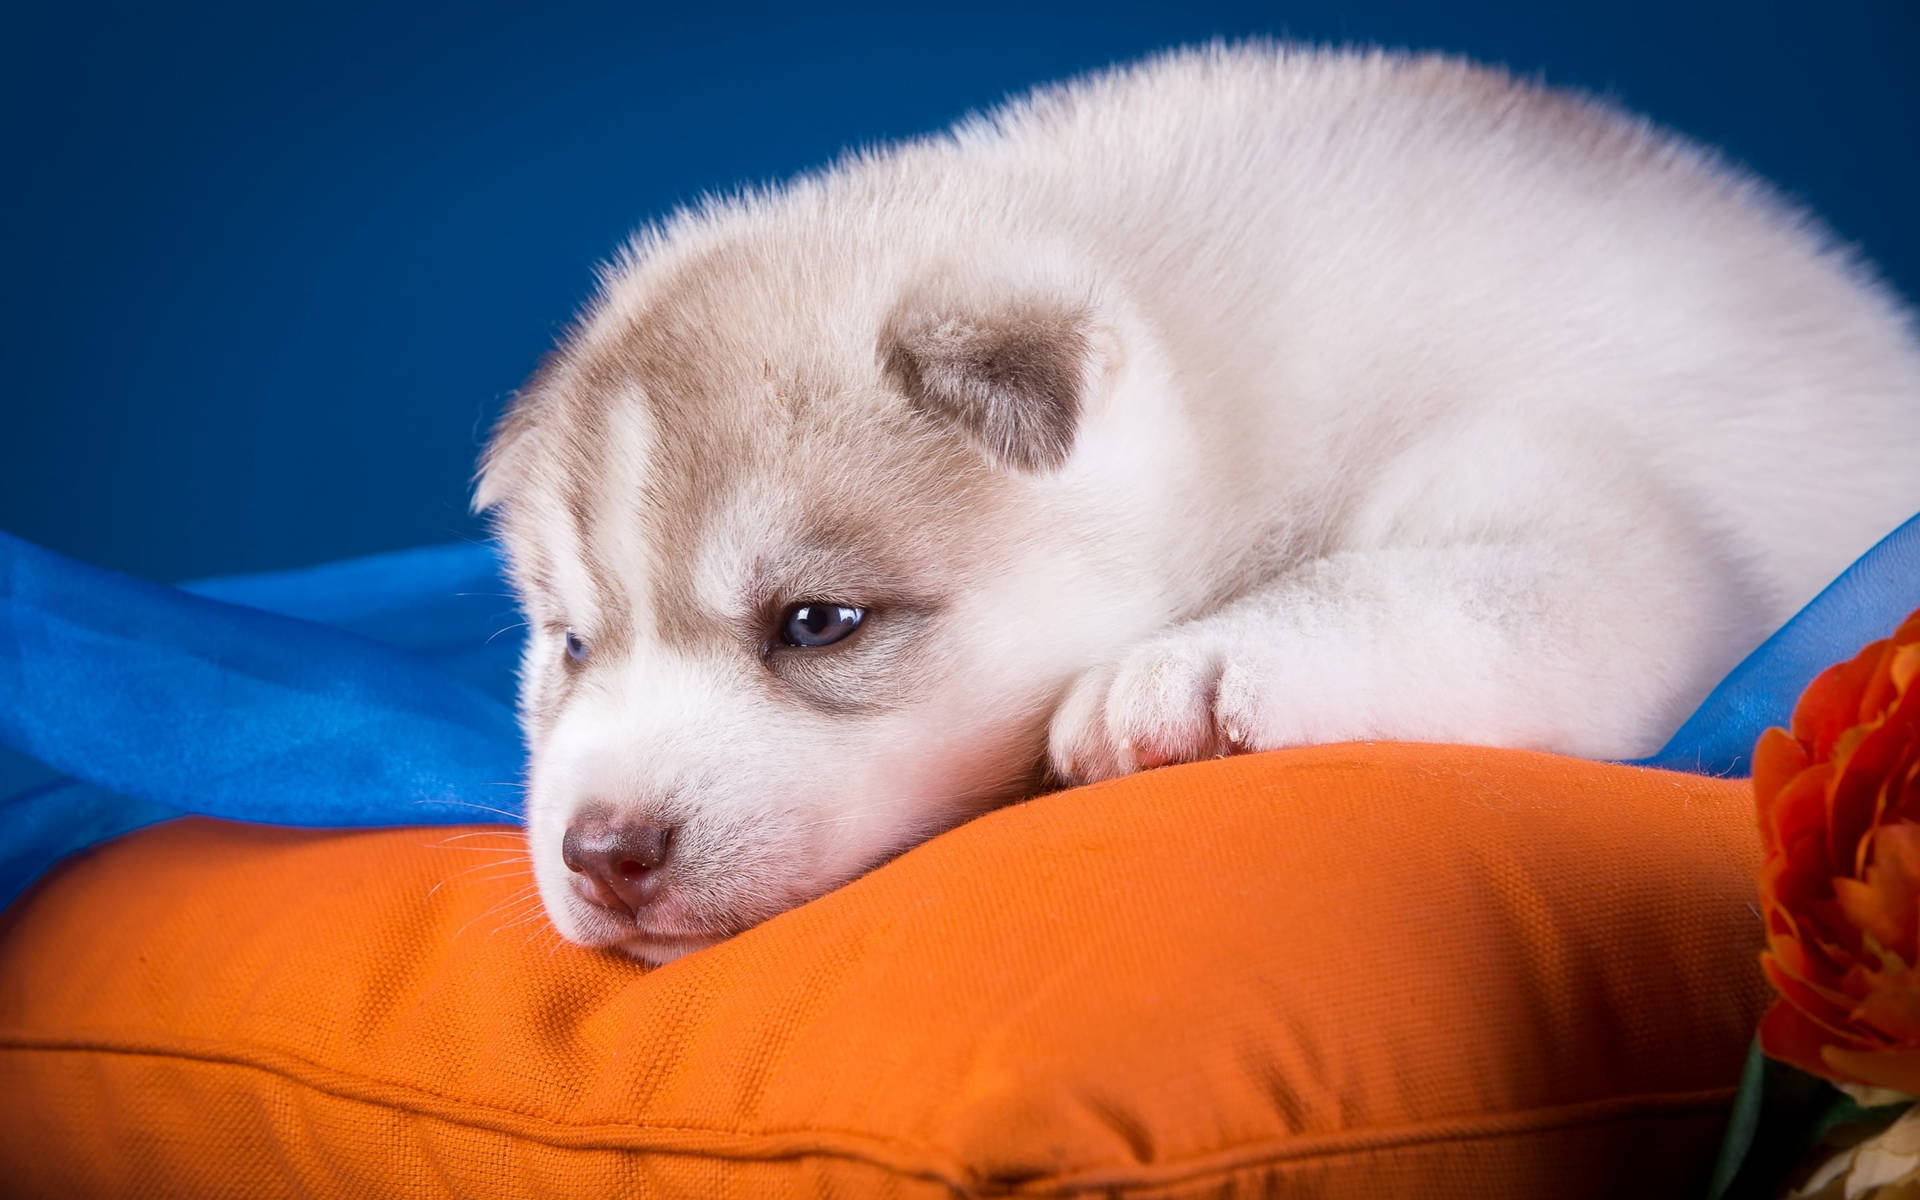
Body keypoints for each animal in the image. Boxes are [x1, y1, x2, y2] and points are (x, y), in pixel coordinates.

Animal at [476, 44, 1920, 963]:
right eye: (573, 645)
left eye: (819, 623)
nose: (602, 849)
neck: (1233, 369)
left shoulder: (1608, 525)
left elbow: (1464, 582)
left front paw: (1191, 668)